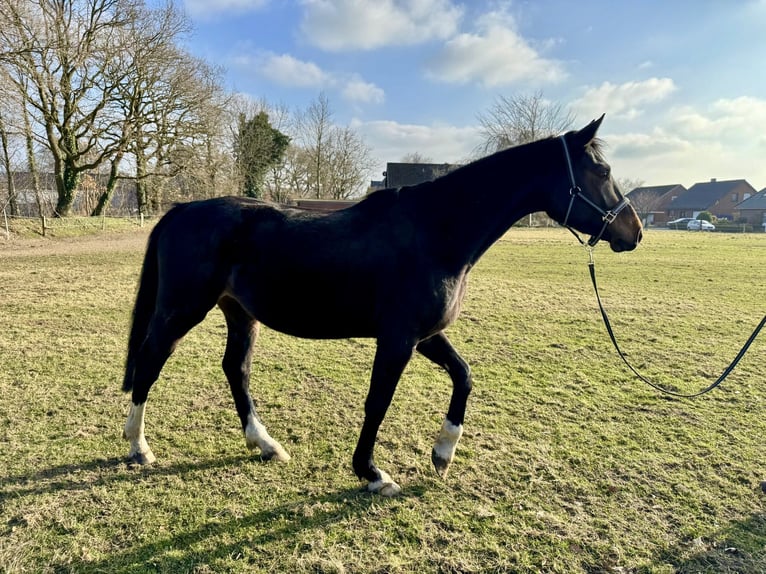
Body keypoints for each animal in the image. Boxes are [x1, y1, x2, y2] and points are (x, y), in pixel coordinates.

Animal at [121, 115, 642, 496]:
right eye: (602, 172)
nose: (633, 231)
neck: (435, 232)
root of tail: (182, 209)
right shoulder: (398, 341)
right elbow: (378, 402)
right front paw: (372, 473)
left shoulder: (424, 335)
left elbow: (464, 376)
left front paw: (443, 454)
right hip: (181, 311)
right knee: (149, 363)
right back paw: (139, 447)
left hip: (240, 313)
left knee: (236, 369)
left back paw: (265, 444)